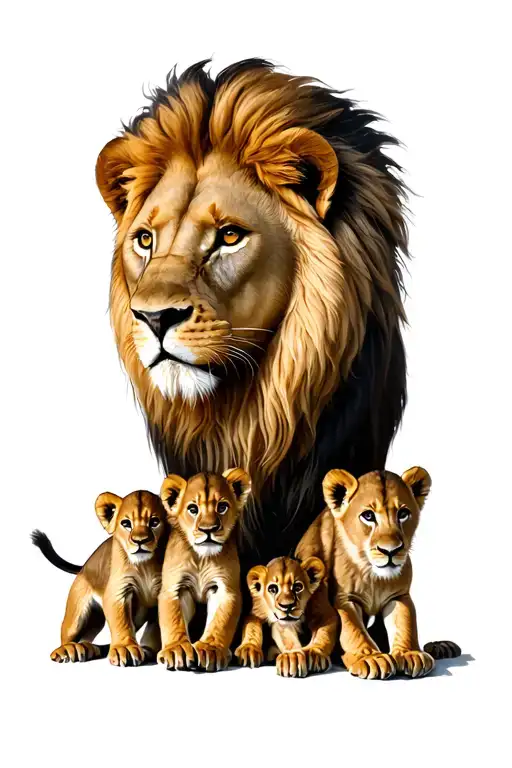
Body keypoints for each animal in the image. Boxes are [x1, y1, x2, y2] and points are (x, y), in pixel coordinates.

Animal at [32, 490, 167, 666]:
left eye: (154, 522)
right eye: (126, 523)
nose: (140, 541)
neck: (145, 565)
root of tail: (84, 566)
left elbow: (155, 627)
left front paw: (149, 650)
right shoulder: (118, 592)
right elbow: (121, 621)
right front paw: (125, 648)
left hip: (95, 619)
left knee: (87, 636)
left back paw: (87, 648)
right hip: (77, 614)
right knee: (66, 634)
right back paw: (67, 650)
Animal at [157, 468, 251, 672]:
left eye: (222, 507)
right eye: (193, 509)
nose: (209, 529)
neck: (202, 558)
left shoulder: (225, 589)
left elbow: (220, 621)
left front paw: (210, 649)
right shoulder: (175, 588)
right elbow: (173, 618)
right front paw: (177, 649)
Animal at [295, 467, 461, 679]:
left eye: (403, 513)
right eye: (368, 516)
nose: (390, 551)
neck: (374, 578)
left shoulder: (398, 596)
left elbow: (405, 623)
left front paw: (409, 654)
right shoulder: (345, 598)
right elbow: (354, 629)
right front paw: (370, 657)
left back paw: (441, 646)